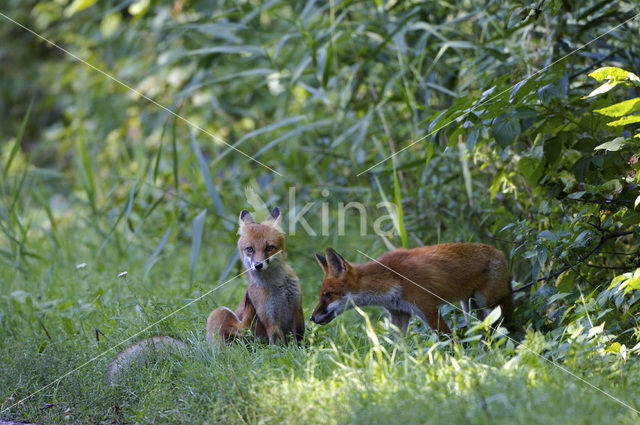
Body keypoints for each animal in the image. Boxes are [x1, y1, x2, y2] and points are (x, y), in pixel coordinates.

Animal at [205, 206, 304, 344]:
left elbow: (299, 341)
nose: (258, 265)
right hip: (219, 312)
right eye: (250, 249)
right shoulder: (270, 320)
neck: (277, 285)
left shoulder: (297, 309)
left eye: (269, 248)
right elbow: (280, 343)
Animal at [308, 243, 512, 332]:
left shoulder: (428, 309)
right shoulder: (399, 313)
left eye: (328, 295)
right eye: (321, 295)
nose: (311, 318)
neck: (391, 279)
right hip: (468, 307)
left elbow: (448, 342)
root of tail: (500, 252)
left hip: (489, 304)